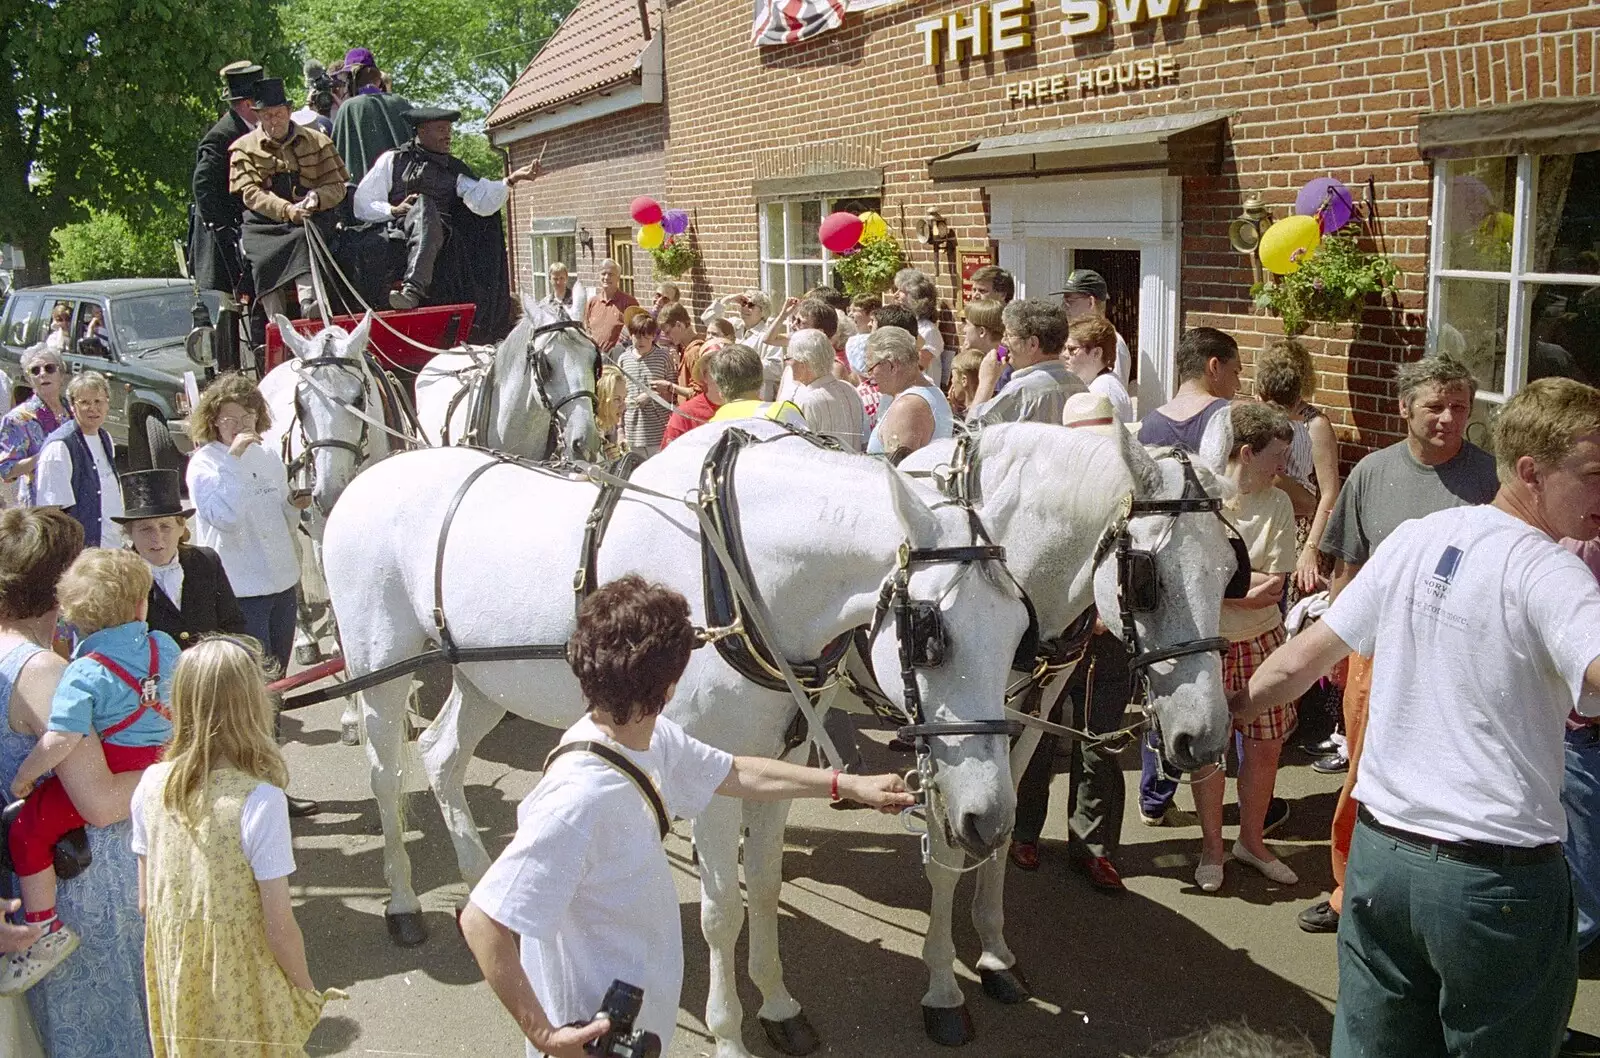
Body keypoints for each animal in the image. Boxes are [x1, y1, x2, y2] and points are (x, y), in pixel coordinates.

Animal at [318, 422, 1030, 966]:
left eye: (1020, 629)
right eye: (931, 638)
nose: (990, 821)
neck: (737, 569)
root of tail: (366, 478)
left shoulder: (784, 756)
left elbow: (763, 883)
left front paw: (778, 1007)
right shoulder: (711, 763)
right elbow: (723, 910)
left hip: (483, 676)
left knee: (441, 755)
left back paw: (478, 883)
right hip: (382, 666)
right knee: (386, 772)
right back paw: (403, 903)